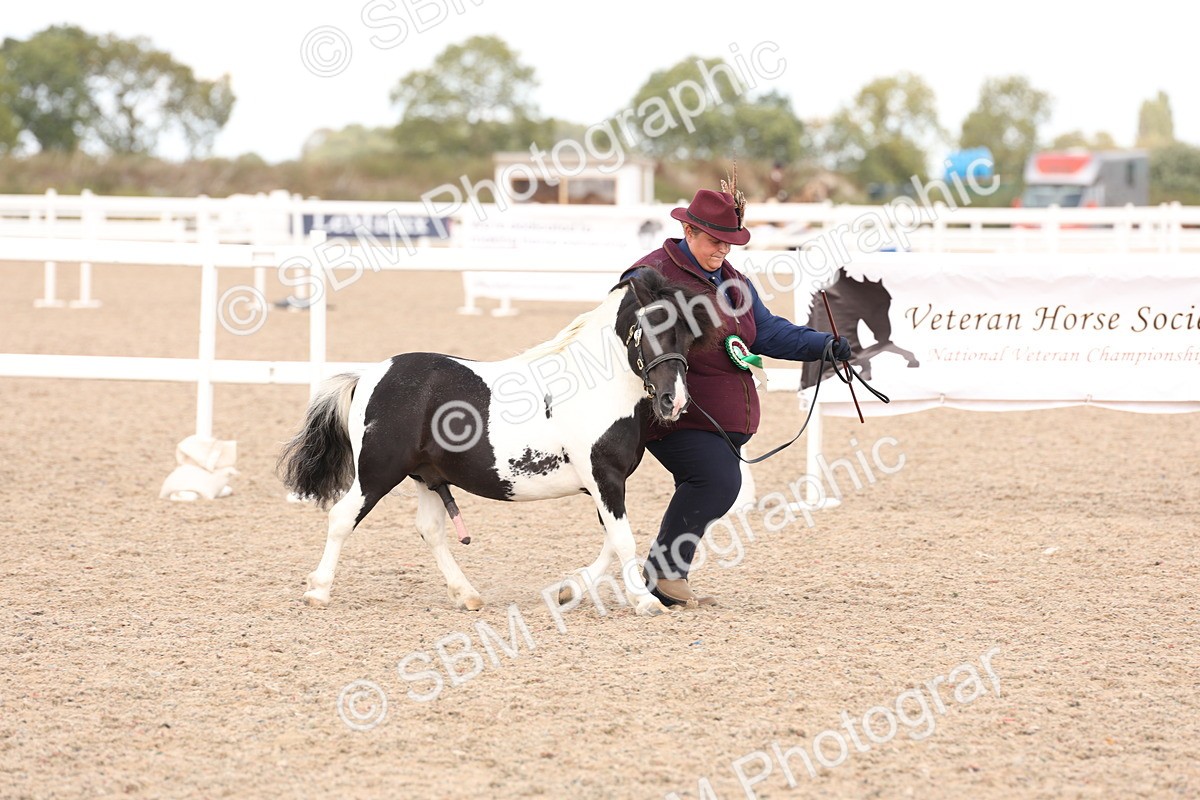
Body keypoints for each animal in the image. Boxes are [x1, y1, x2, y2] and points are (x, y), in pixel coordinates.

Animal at [277, 270, 720, 617]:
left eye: (687, 335)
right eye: (650, 327)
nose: (674, 401)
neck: (594, 389)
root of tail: (368, 377)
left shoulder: (607, 483)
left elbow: (613, 538)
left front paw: (569, 590)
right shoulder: (604, 477)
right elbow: (623, 537)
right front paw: (645, 601)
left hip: (424, 475)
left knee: (430, 531)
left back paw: (467, 595)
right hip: (377, 472)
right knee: (342, 516)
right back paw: (318, 591)